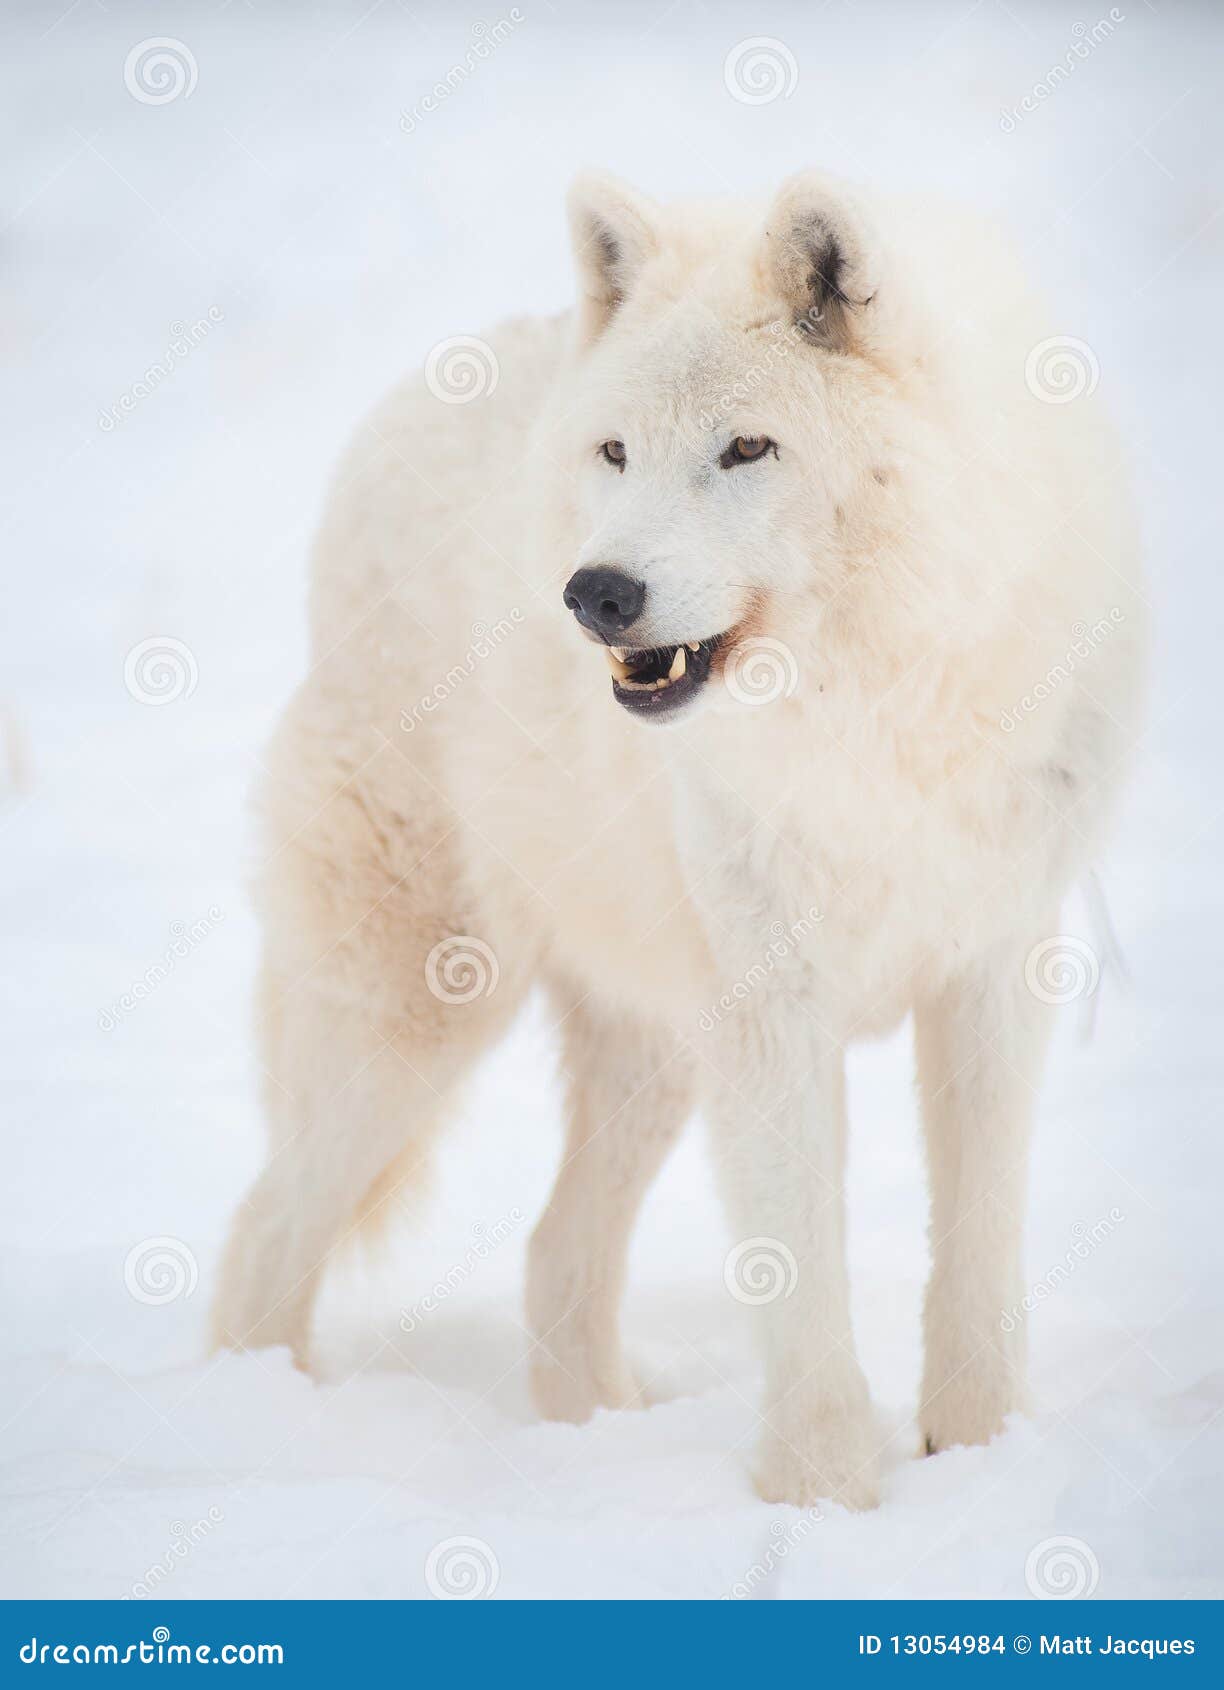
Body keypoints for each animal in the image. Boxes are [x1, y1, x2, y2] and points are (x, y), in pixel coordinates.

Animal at [215, 171, 1142, 1514]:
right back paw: (258, 1426)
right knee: (264, 1231)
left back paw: (589, 1439)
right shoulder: (773, 1003)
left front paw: (978, 1454)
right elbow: (803, 1275)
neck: (872, 703)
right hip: (421, 1015)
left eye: (745, 448)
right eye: (617, 453)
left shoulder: (993, 964)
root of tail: (398, 409)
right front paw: (822, 1499)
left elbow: (975, 1248)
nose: (595, 594)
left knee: (551, 1251)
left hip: (652, 1044)